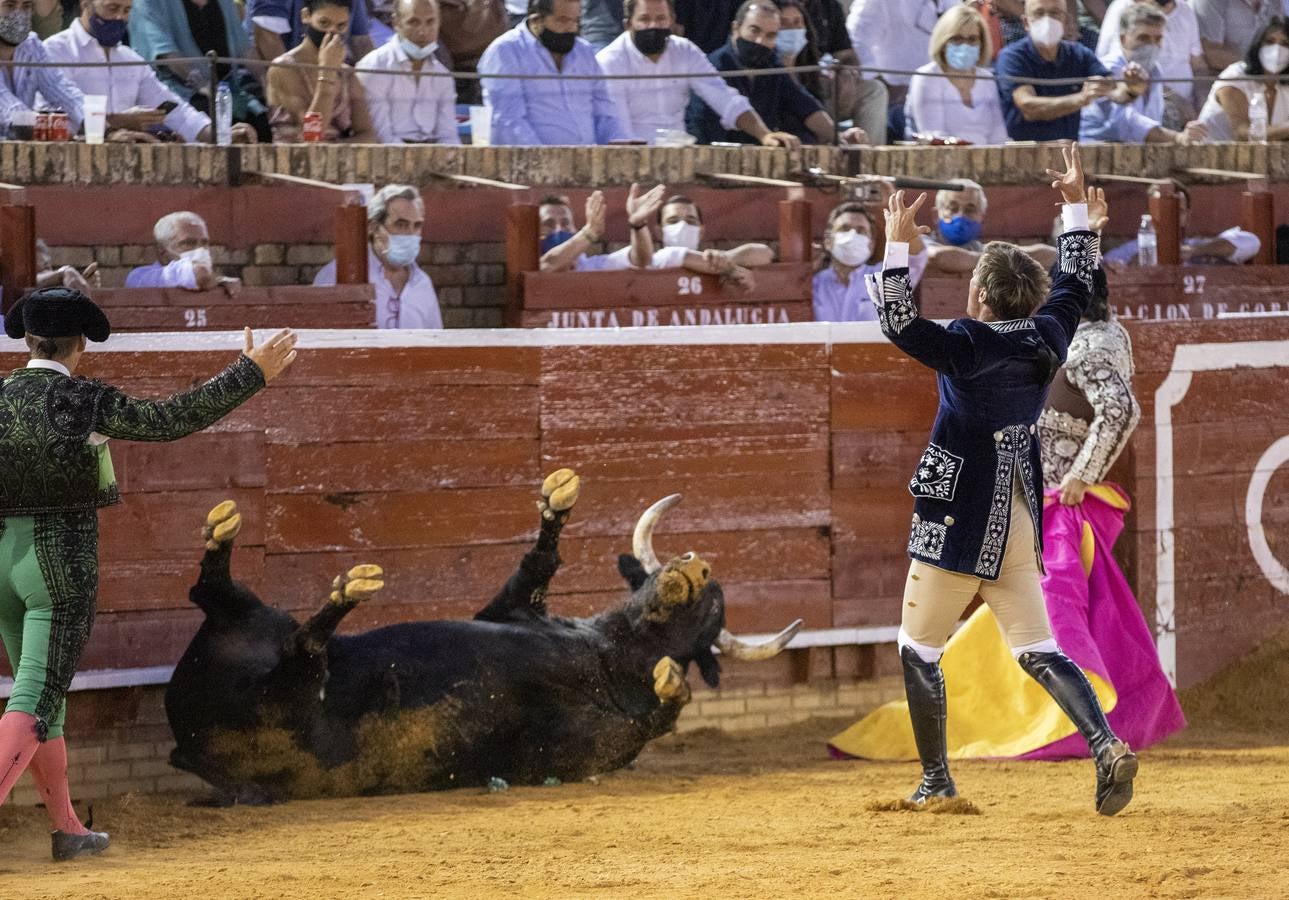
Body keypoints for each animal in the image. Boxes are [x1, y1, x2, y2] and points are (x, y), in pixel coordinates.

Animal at [166, 469, 799, 799]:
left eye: (713, 614)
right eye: (654, 569)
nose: (698, 565)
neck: (607, 652)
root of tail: (184, 749)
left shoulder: (563, 757)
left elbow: (651, 715)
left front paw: (672, 685)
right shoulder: (508, 608)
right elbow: (536, 567)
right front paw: (557, 501)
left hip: (283, 709)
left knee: (302, 652)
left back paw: (346, 592)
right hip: (254, 623)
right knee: (216, 598)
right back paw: (229, 537)